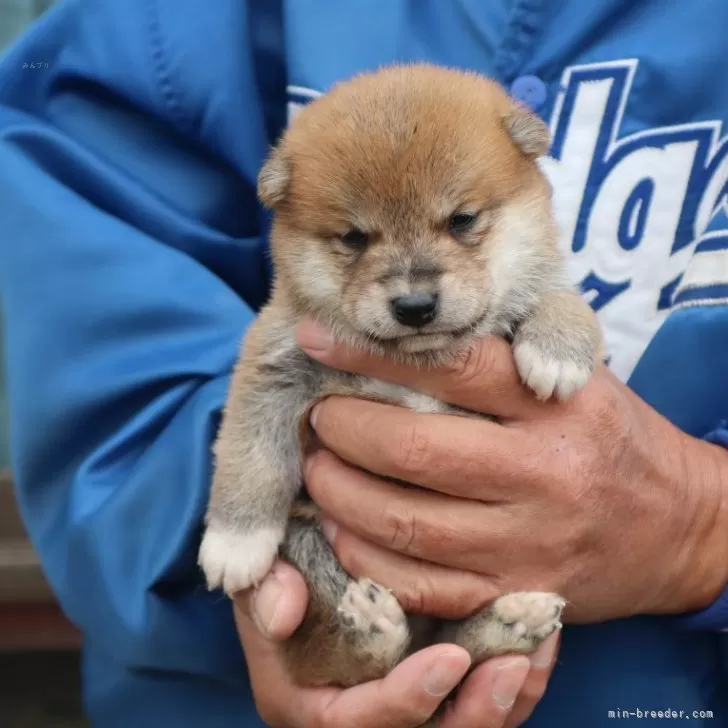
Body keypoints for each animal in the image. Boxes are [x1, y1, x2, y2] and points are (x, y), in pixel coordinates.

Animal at [200, 64, 604, 704]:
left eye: (462, 220)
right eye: (353, 238)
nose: (414, 305)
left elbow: (560, 296)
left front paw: (557, 348)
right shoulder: (274, 364)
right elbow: (251, 455)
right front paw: (235, 543)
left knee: (450, 650)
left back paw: (511, 621)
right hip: (310, 552)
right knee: (350, 660)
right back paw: (376, 626)